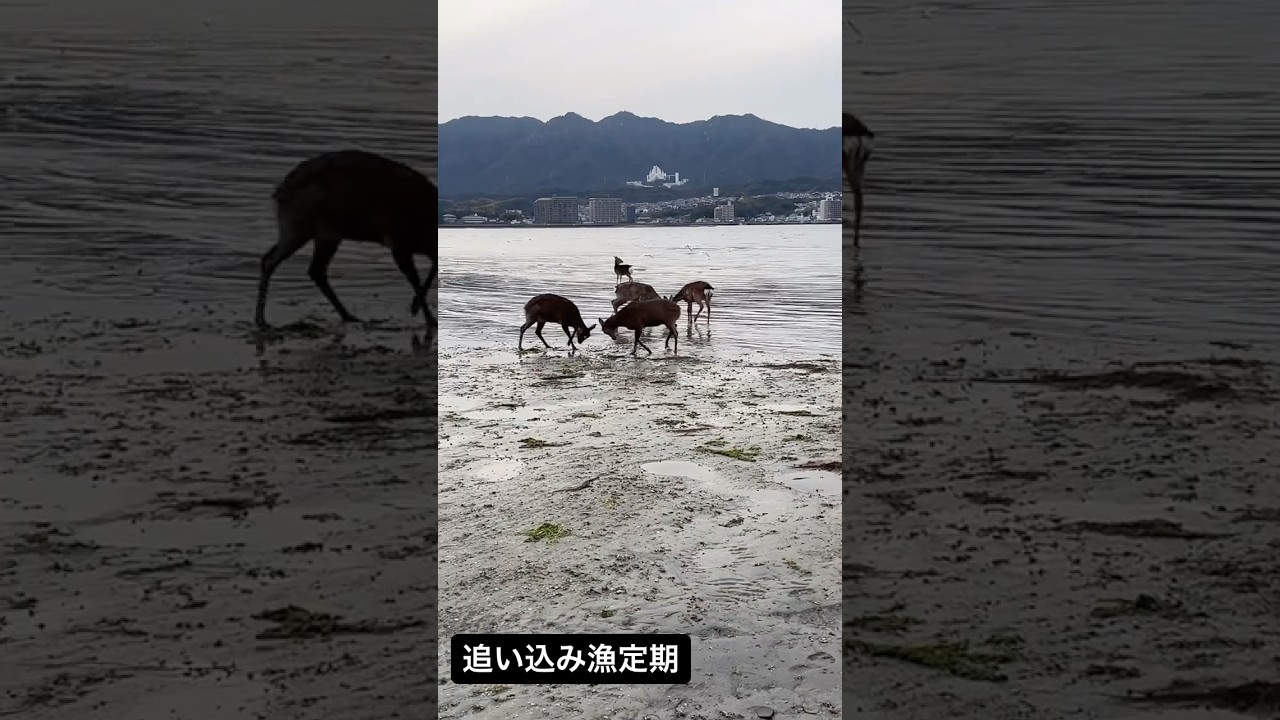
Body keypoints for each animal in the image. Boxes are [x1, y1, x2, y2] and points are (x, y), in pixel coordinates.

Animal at [255, 149, 437, 331]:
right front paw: (426, 317)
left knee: (316, 270)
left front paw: (417, 309)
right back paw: (261, 320)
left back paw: (349, 316)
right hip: (298, 224)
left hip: (327, 234)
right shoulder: (398, 241)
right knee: (270, 260)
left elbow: (432, 266)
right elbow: (415, 277)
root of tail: (280, 191)